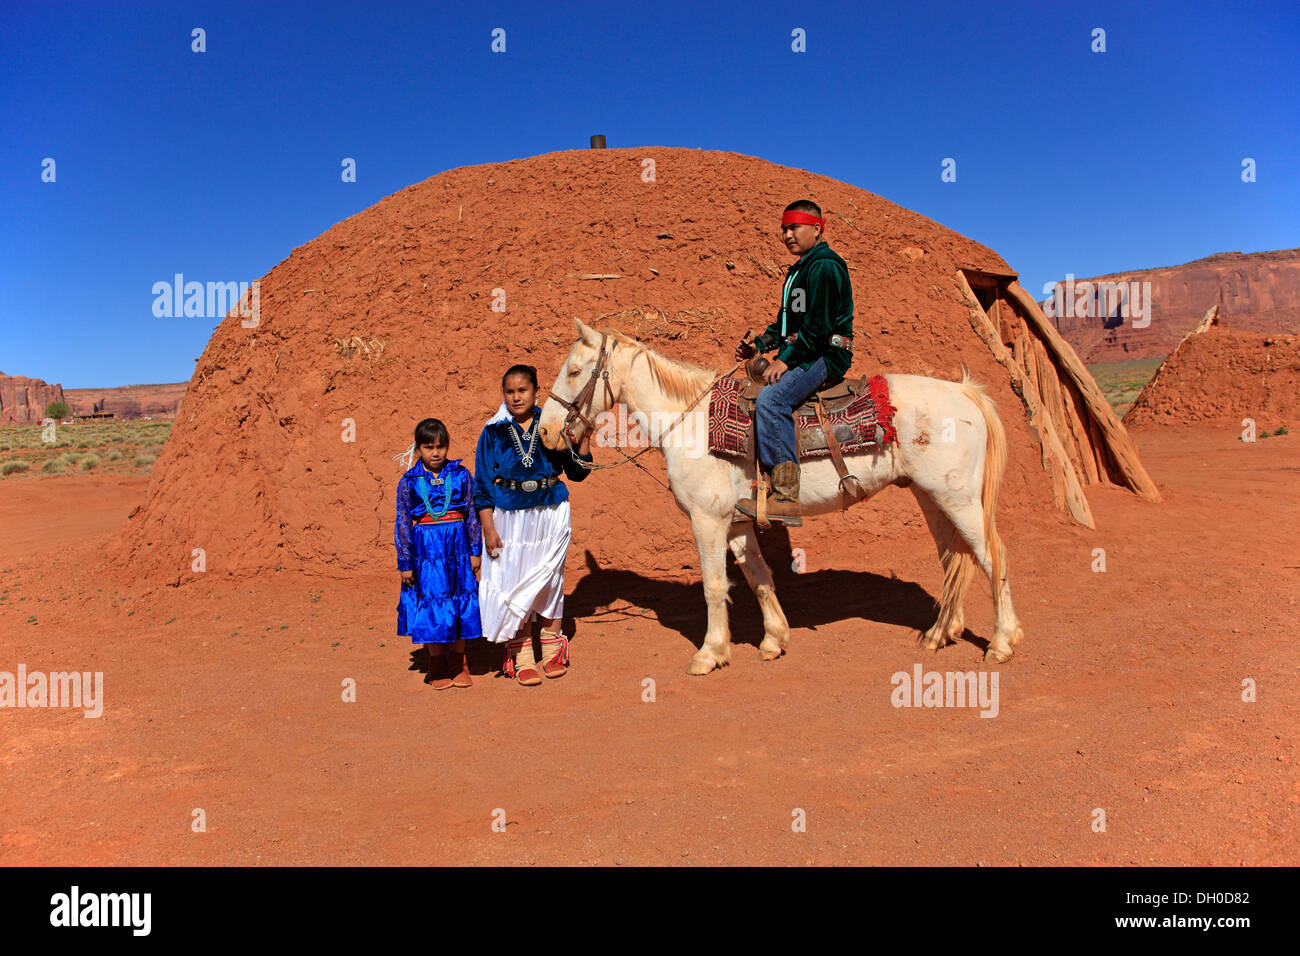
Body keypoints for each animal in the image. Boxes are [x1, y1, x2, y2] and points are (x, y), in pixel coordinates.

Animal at [538, 319, 1024, 671]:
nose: (545, 432)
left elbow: (715, 586)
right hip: (932, 498)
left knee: (993, 556)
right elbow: (758, 576)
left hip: (959, 499)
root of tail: (963, 391)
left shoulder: (707, 519)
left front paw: (709, 653)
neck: (691, 422)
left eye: (575, 371)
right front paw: (774, 639)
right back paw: (940, 633)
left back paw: (1002, 642)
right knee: (954, 558)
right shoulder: (735, 521)